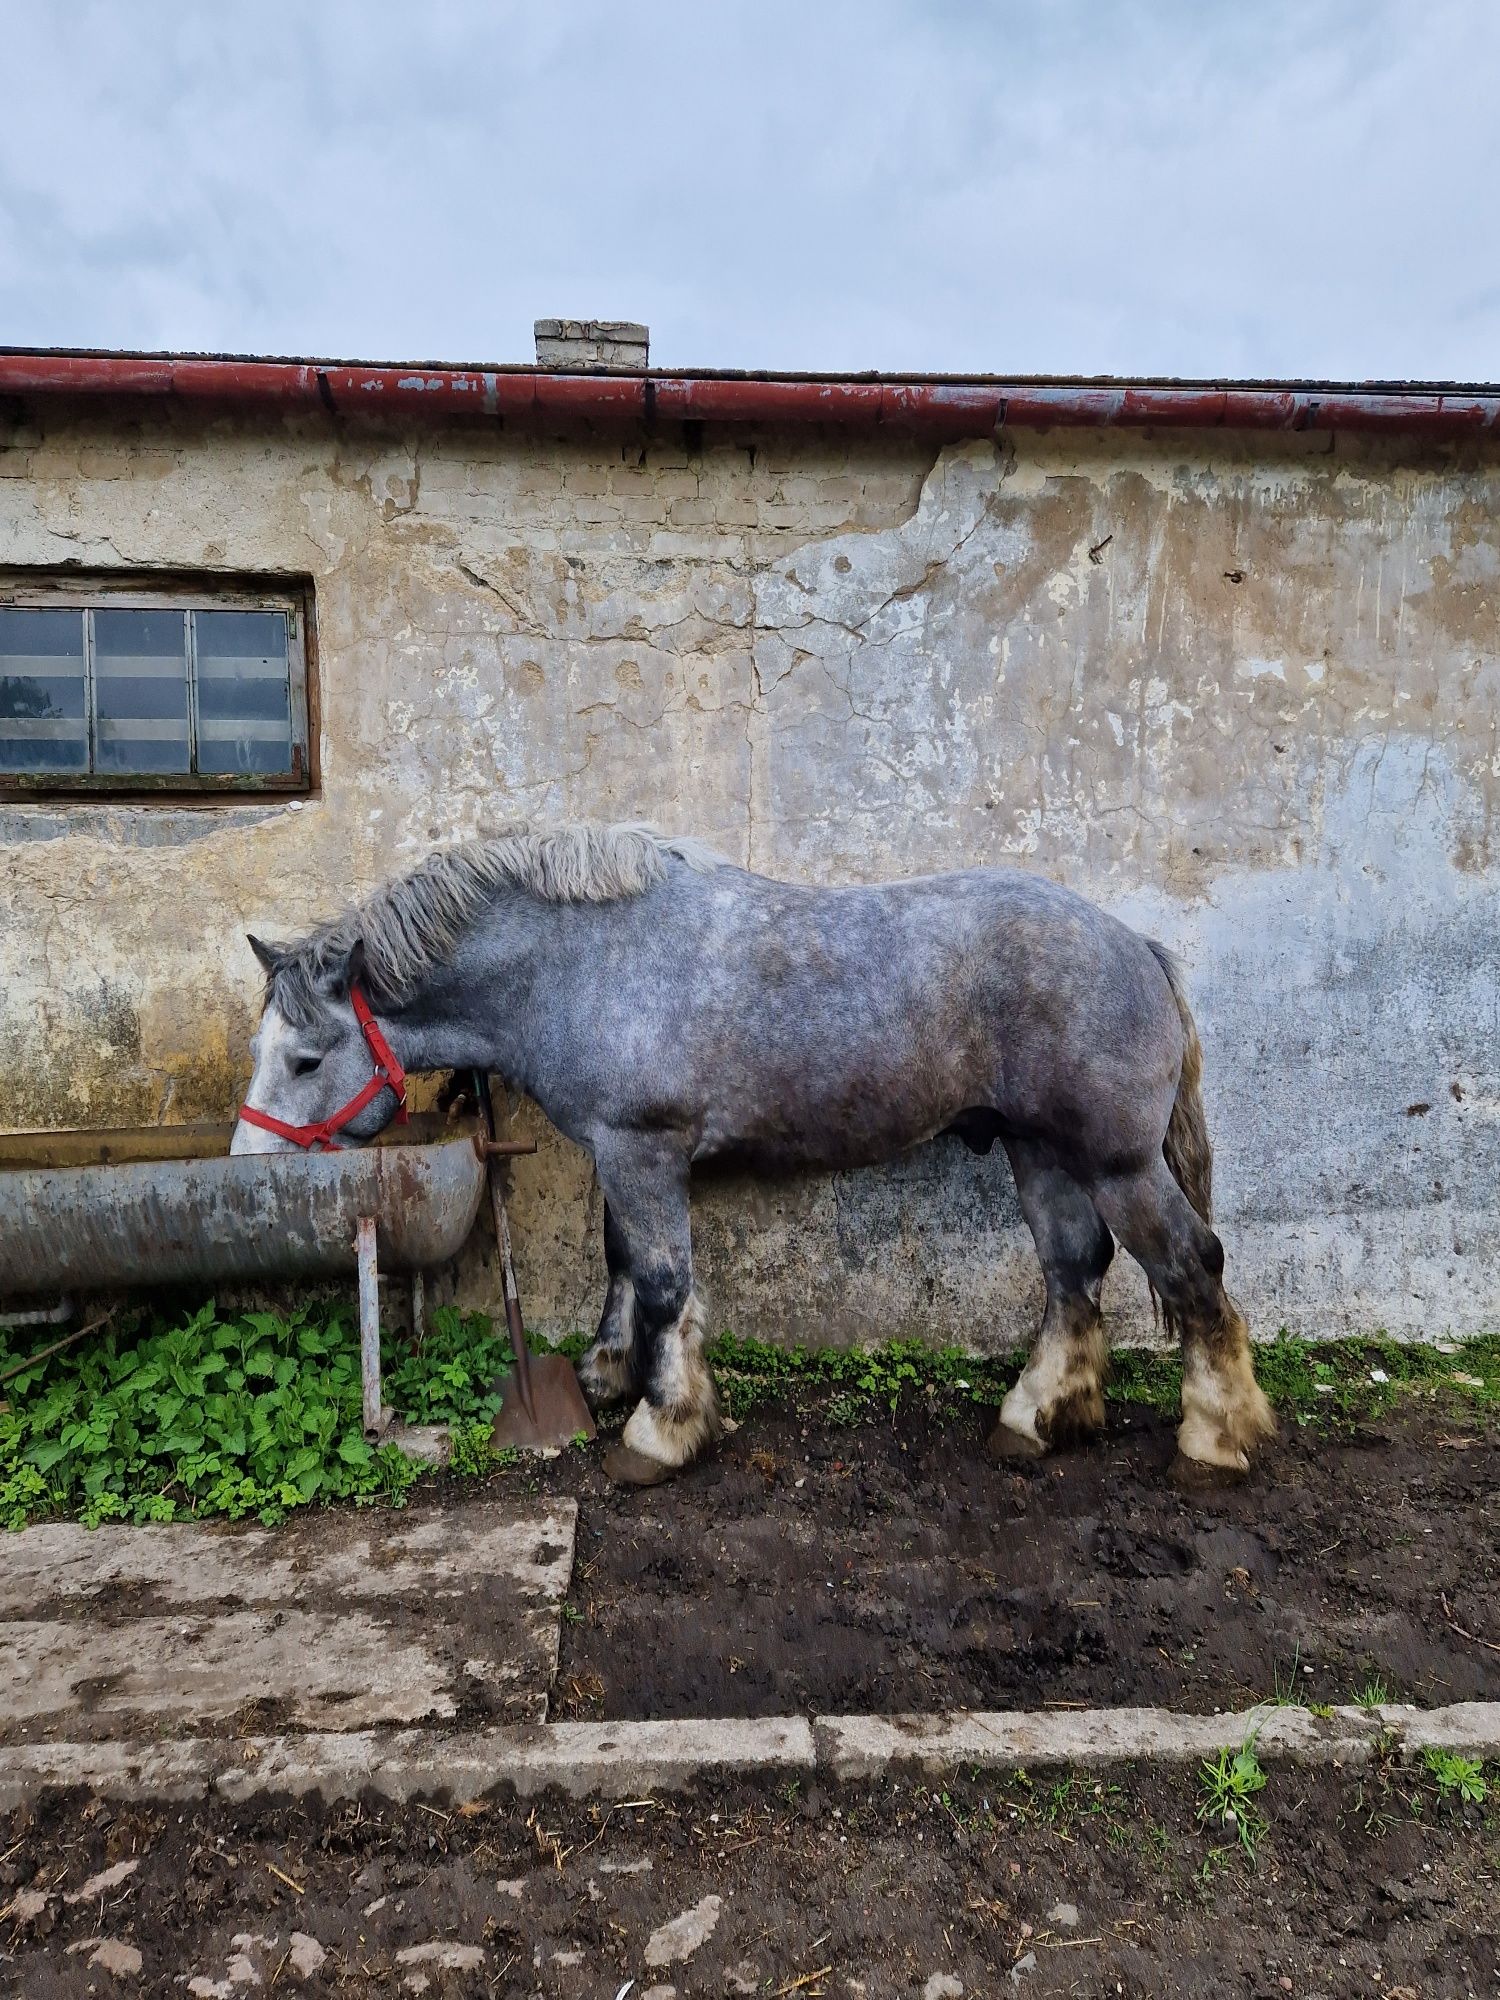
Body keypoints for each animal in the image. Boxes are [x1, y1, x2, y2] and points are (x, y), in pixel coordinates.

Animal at [235, 824, 1280, 1488]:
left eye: (305, 1057)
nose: (250, 1167)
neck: (583, 964)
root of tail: (1137, 947)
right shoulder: (625, 1154)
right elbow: (628, 1265)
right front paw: (612, 1375)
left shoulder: (643, 1148)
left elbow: (663, 1282)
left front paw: (660, 1428)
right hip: (1042, 1151)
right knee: (1073, 1271)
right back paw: (1035, 1416)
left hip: (1118, 1163)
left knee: (1191, 1266)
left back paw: (1214, 1436)